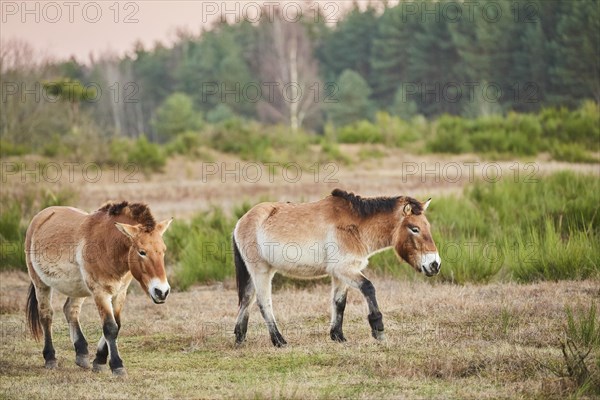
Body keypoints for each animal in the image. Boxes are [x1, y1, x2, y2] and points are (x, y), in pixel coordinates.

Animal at [24, 202, 172, 376]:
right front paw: (117, 366)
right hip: (40, 283)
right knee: (46, 315)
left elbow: (117, 324)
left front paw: (99, 360)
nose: (162, 292)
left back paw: (81, 354)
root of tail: (41, 215)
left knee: (70, 311)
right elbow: (110, 327)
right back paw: (50, 358)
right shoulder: (100, 293)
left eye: (163, 250)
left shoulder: (120, 293)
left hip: (77, 289)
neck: (108, 245)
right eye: (142, 252)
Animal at [234, 189, 440, 346]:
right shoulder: (345, 270)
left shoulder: (340, 274)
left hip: (256, 273)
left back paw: (240, 337)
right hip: (261, 271)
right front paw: (378, 329)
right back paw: (279, 341)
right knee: (263, 302)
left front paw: (338, 336)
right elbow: (368, 288)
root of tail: (241, 221)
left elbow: (339, 303)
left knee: (246, 299)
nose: (435, 264)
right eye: (414, 228)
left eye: (428, 227)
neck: (356, 227)